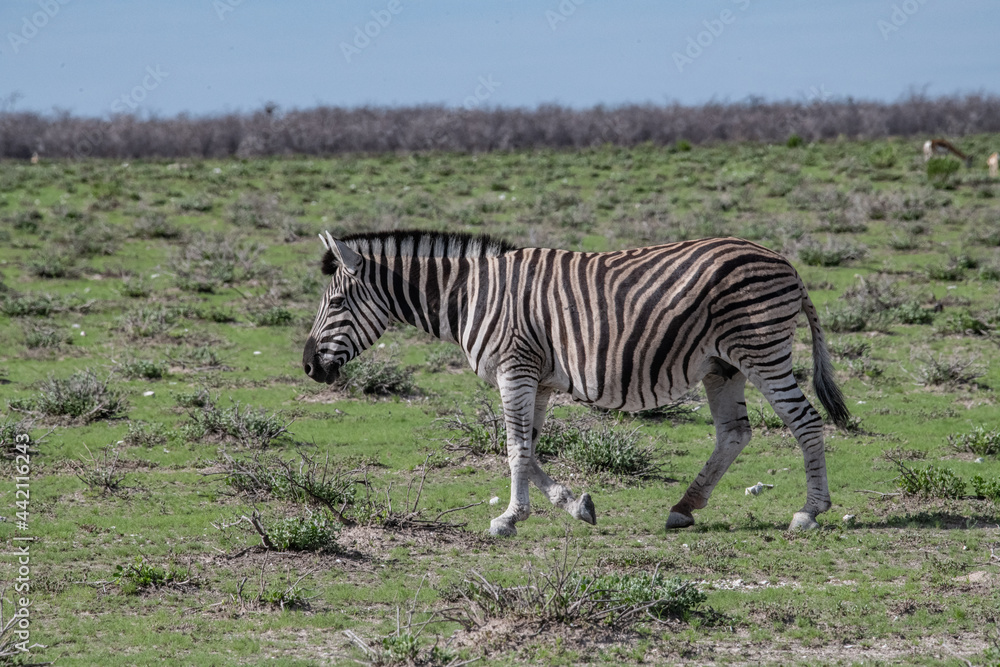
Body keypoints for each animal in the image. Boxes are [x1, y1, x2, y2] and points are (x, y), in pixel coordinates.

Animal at [303, 230, 850, 537]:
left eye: (336, 304)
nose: (308, 367)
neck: (469, 294)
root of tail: (785, 263)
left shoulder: (515, 368)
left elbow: (514, 448)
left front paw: (508, 519)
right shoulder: (537, 378)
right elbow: (529, 449)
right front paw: (574, 504)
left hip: (760, 350)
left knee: (805, 421)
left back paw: (810, 512)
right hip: (723, 366)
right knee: (735, 434)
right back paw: (684, 508)